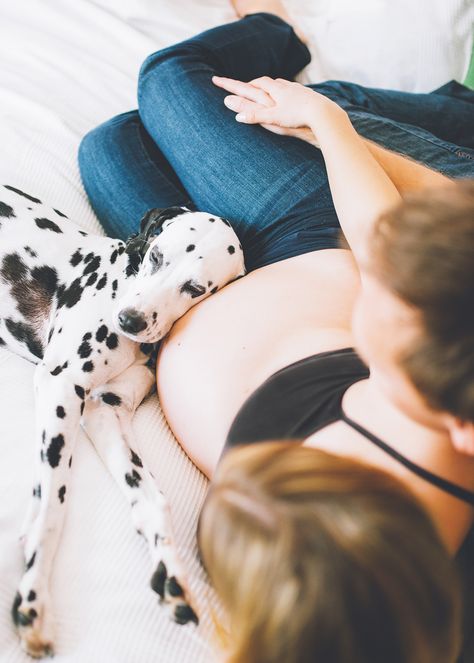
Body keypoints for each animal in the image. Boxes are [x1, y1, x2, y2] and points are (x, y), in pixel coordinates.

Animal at [0, 185, 244, 660]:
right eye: (156, 256)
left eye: (195, 288)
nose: (130, 320)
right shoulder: (62, 386)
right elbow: (54, 504)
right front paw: (36, 598)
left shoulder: (105, 411)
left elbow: (153, 501)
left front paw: (173, 576)